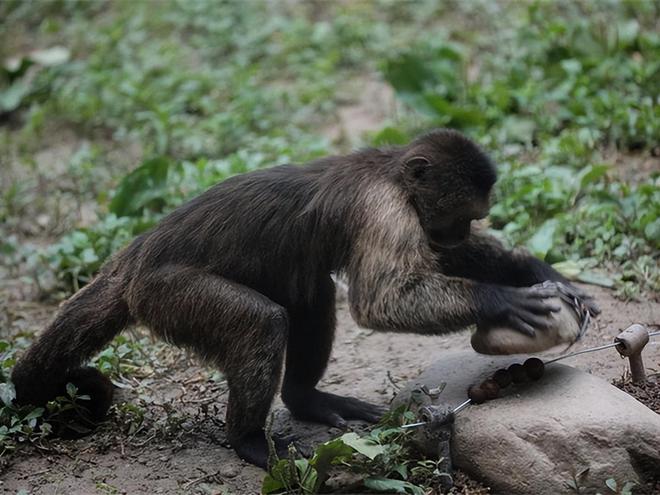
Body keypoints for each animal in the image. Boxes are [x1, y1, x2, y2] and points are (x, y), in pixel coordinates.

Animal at [10, 129, 600, 468]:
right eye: (462, 216)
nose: (458, 233)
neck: (390, 171)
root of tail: (133, 258)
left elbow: (438, 264)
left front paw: (536, 271)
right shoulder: (384, 207)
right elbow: (382, 300)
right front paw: (501, 299)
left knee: (313, 293)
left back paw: (305, 399)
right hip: (166, 294)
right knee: (262, 321)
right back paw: (248, 441)